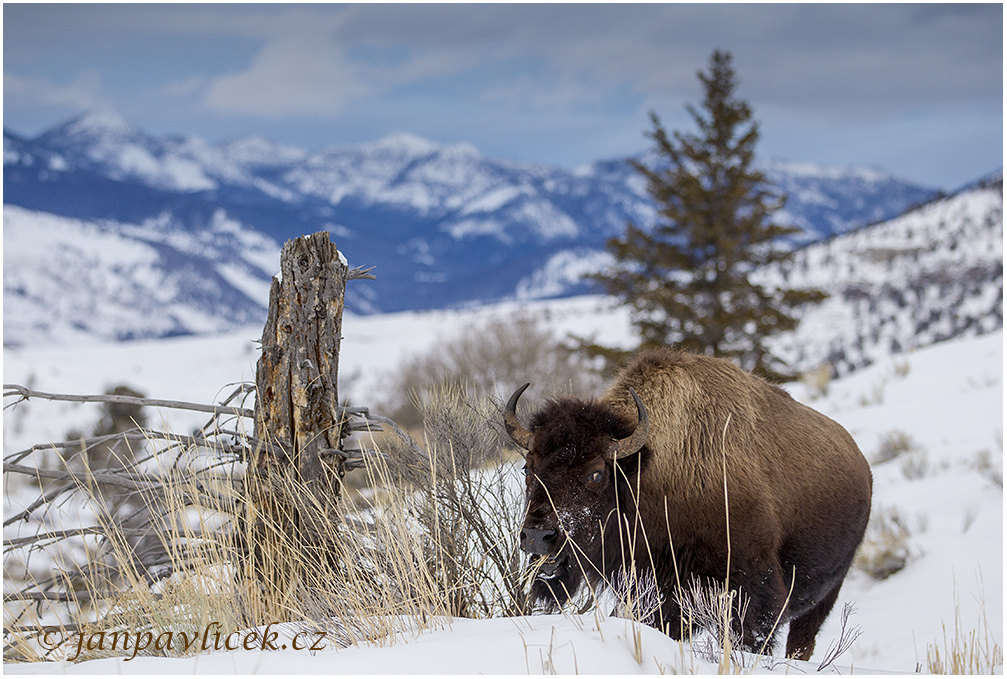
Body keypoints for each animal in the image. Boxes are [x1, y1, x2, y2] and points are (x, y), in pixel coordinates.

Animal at [507, 346, 870, 656]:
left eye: (596, 474)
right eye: (528, 467)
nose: (538, 536)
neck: (649, 470)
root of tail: (861, 462)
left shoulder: (751, 596)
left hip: (824, 597)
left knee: (802, 641)